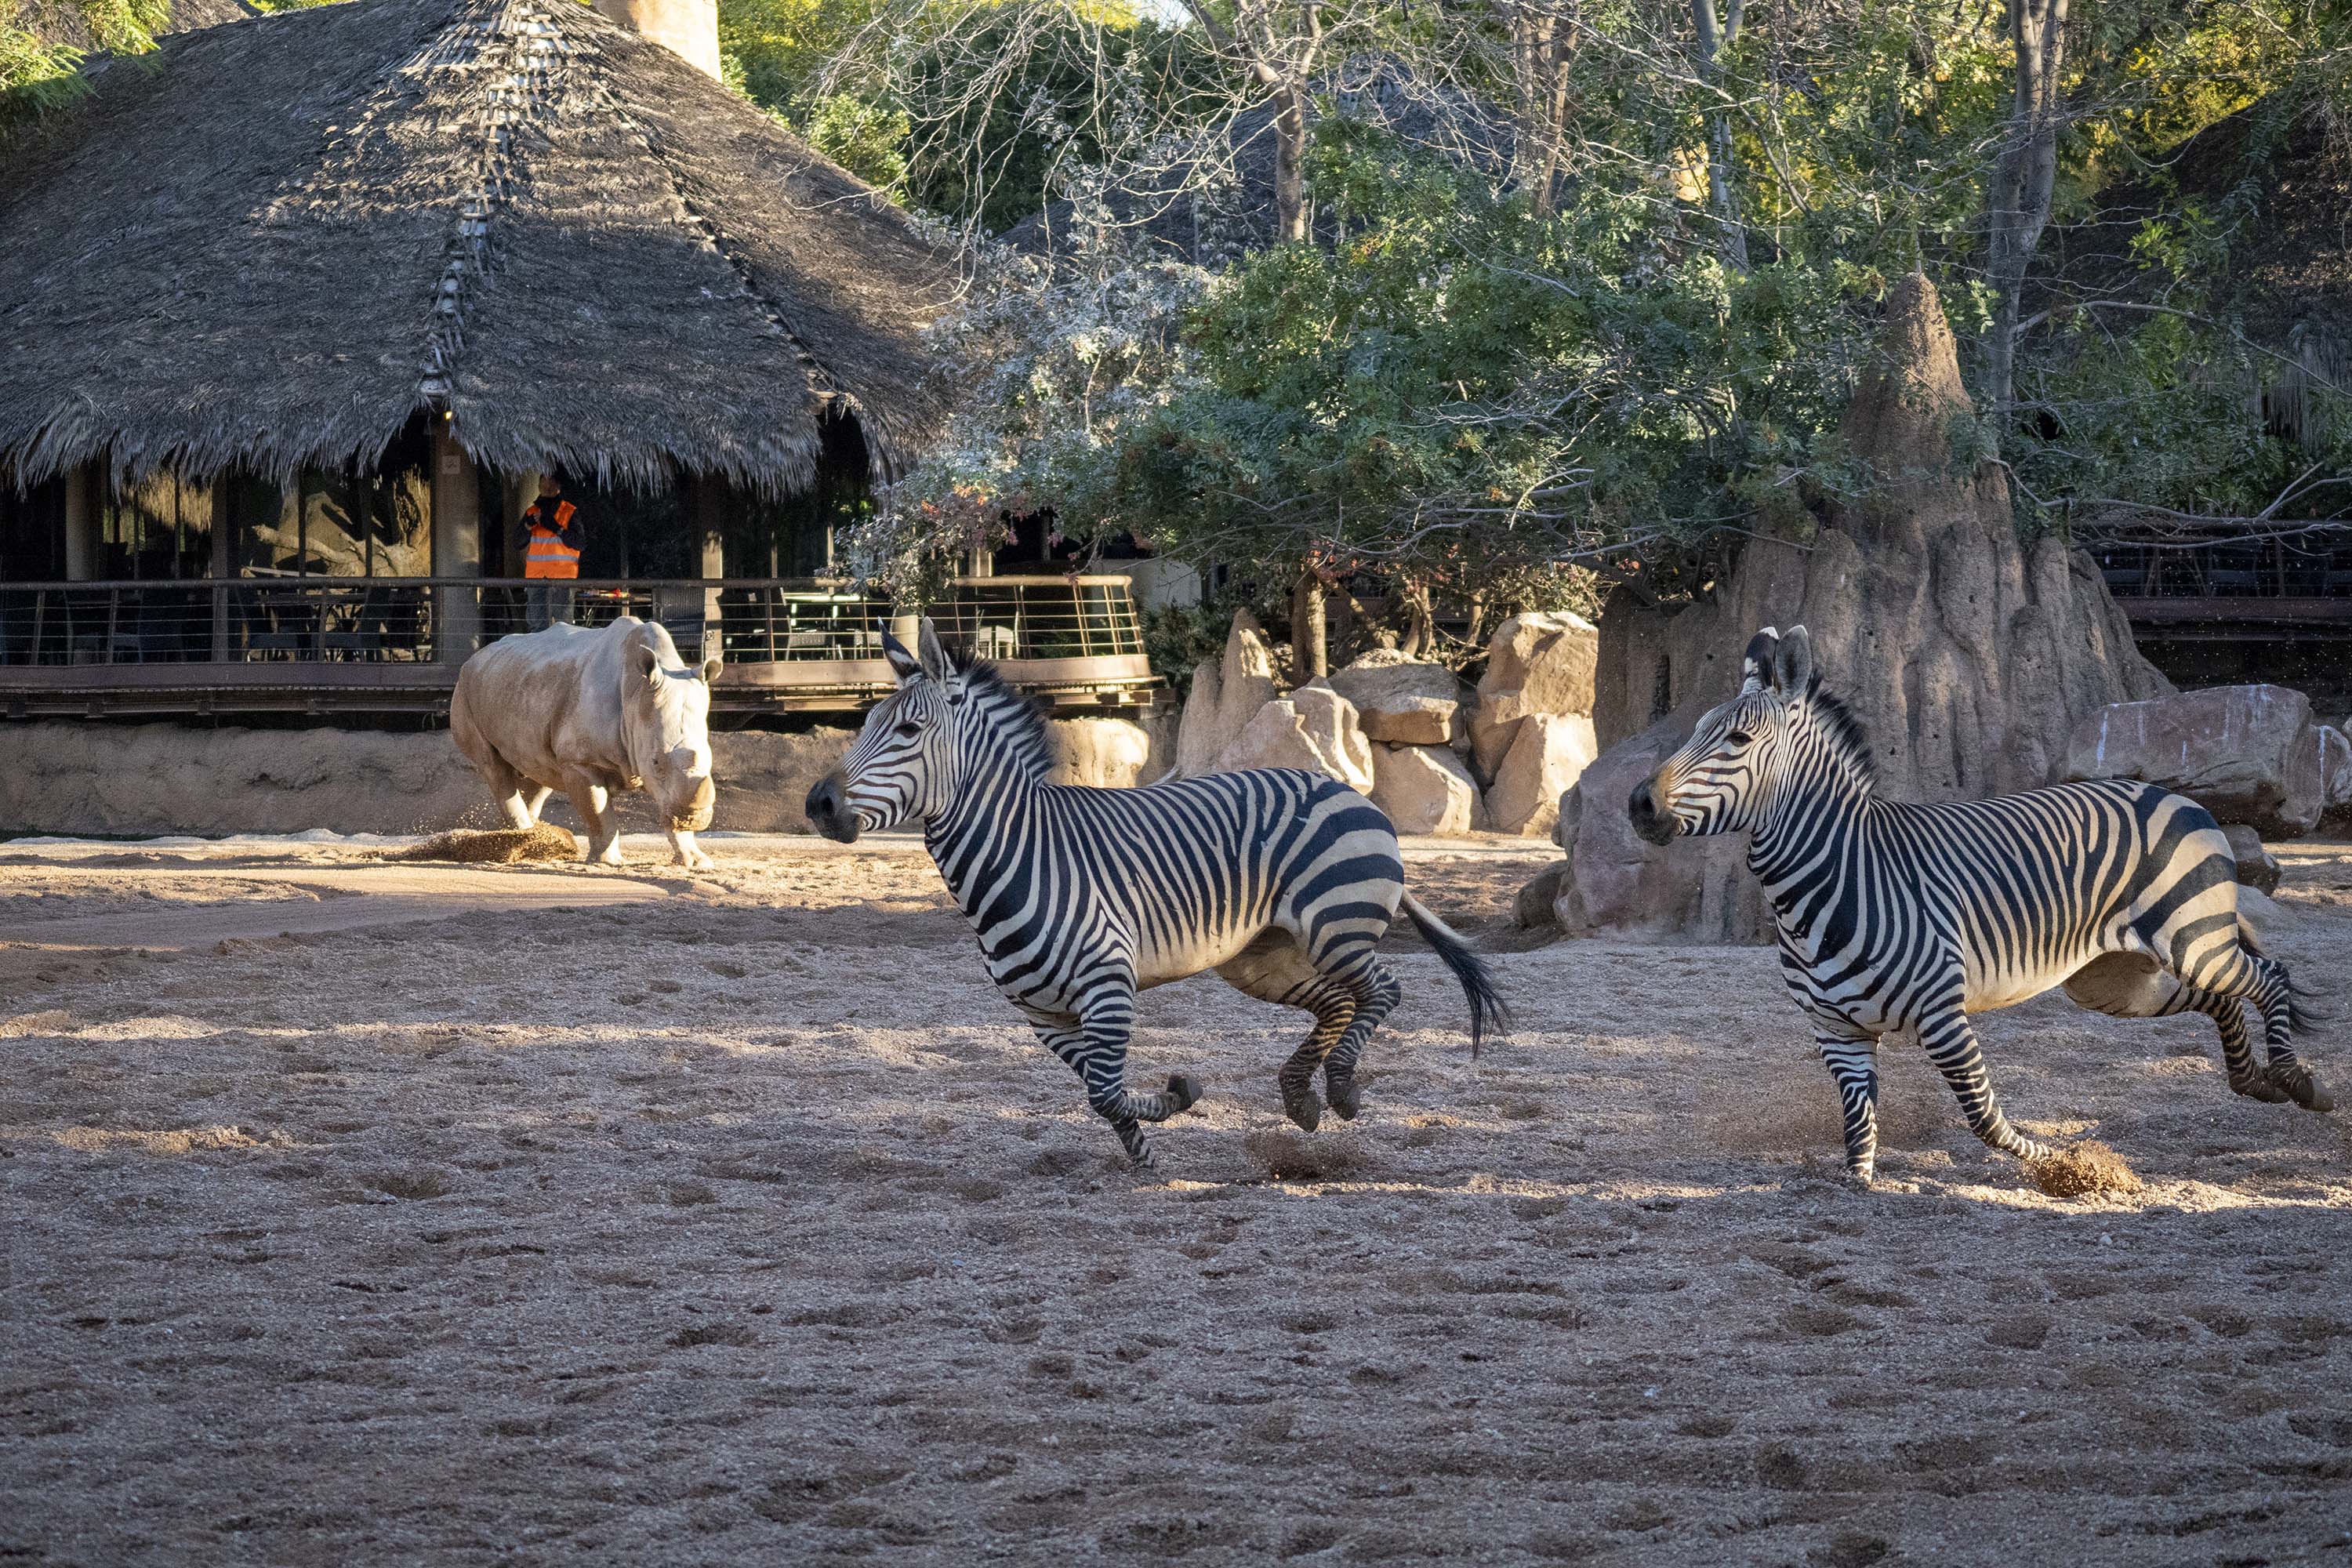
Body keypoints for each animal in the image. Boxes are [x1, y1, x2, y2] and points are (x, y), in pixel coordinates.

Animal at [804, 620, 1505, 1171]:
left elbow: (1104, 1092)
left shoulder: (1108, 988)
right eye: (866, 725)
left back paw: (1338, 1091)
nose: (818, 804)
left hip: (1337, 927)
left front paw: (1175, 1101)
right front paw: (1146, 1154)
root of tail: (1341, 788)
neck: (1016, 855)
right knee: (1336, 1003)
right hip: (1262, 956)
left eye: (908, 730)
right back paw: (1300, 1098)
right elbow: (1099, 1092)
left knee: (1383, 991)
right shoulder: (1042, 1016)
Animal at [1628, 625, 2324, 1189]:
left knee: (2269, 977)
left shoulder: (1942, 1013)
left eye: (1739, 738)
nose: (1639, 805)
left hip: (2190, 937)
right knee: (2220, 997)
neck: (1830, 881)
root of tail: (2174, 794)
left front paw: (2067, 1166)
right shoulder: (1836, 1032)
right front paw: (1861, 1185)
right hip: (2115, 979)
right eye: (1696, 732)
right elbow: (1858, 1128)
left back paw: (2299, 1082)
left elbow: (1983, 1117)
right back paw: (2255, 1082)